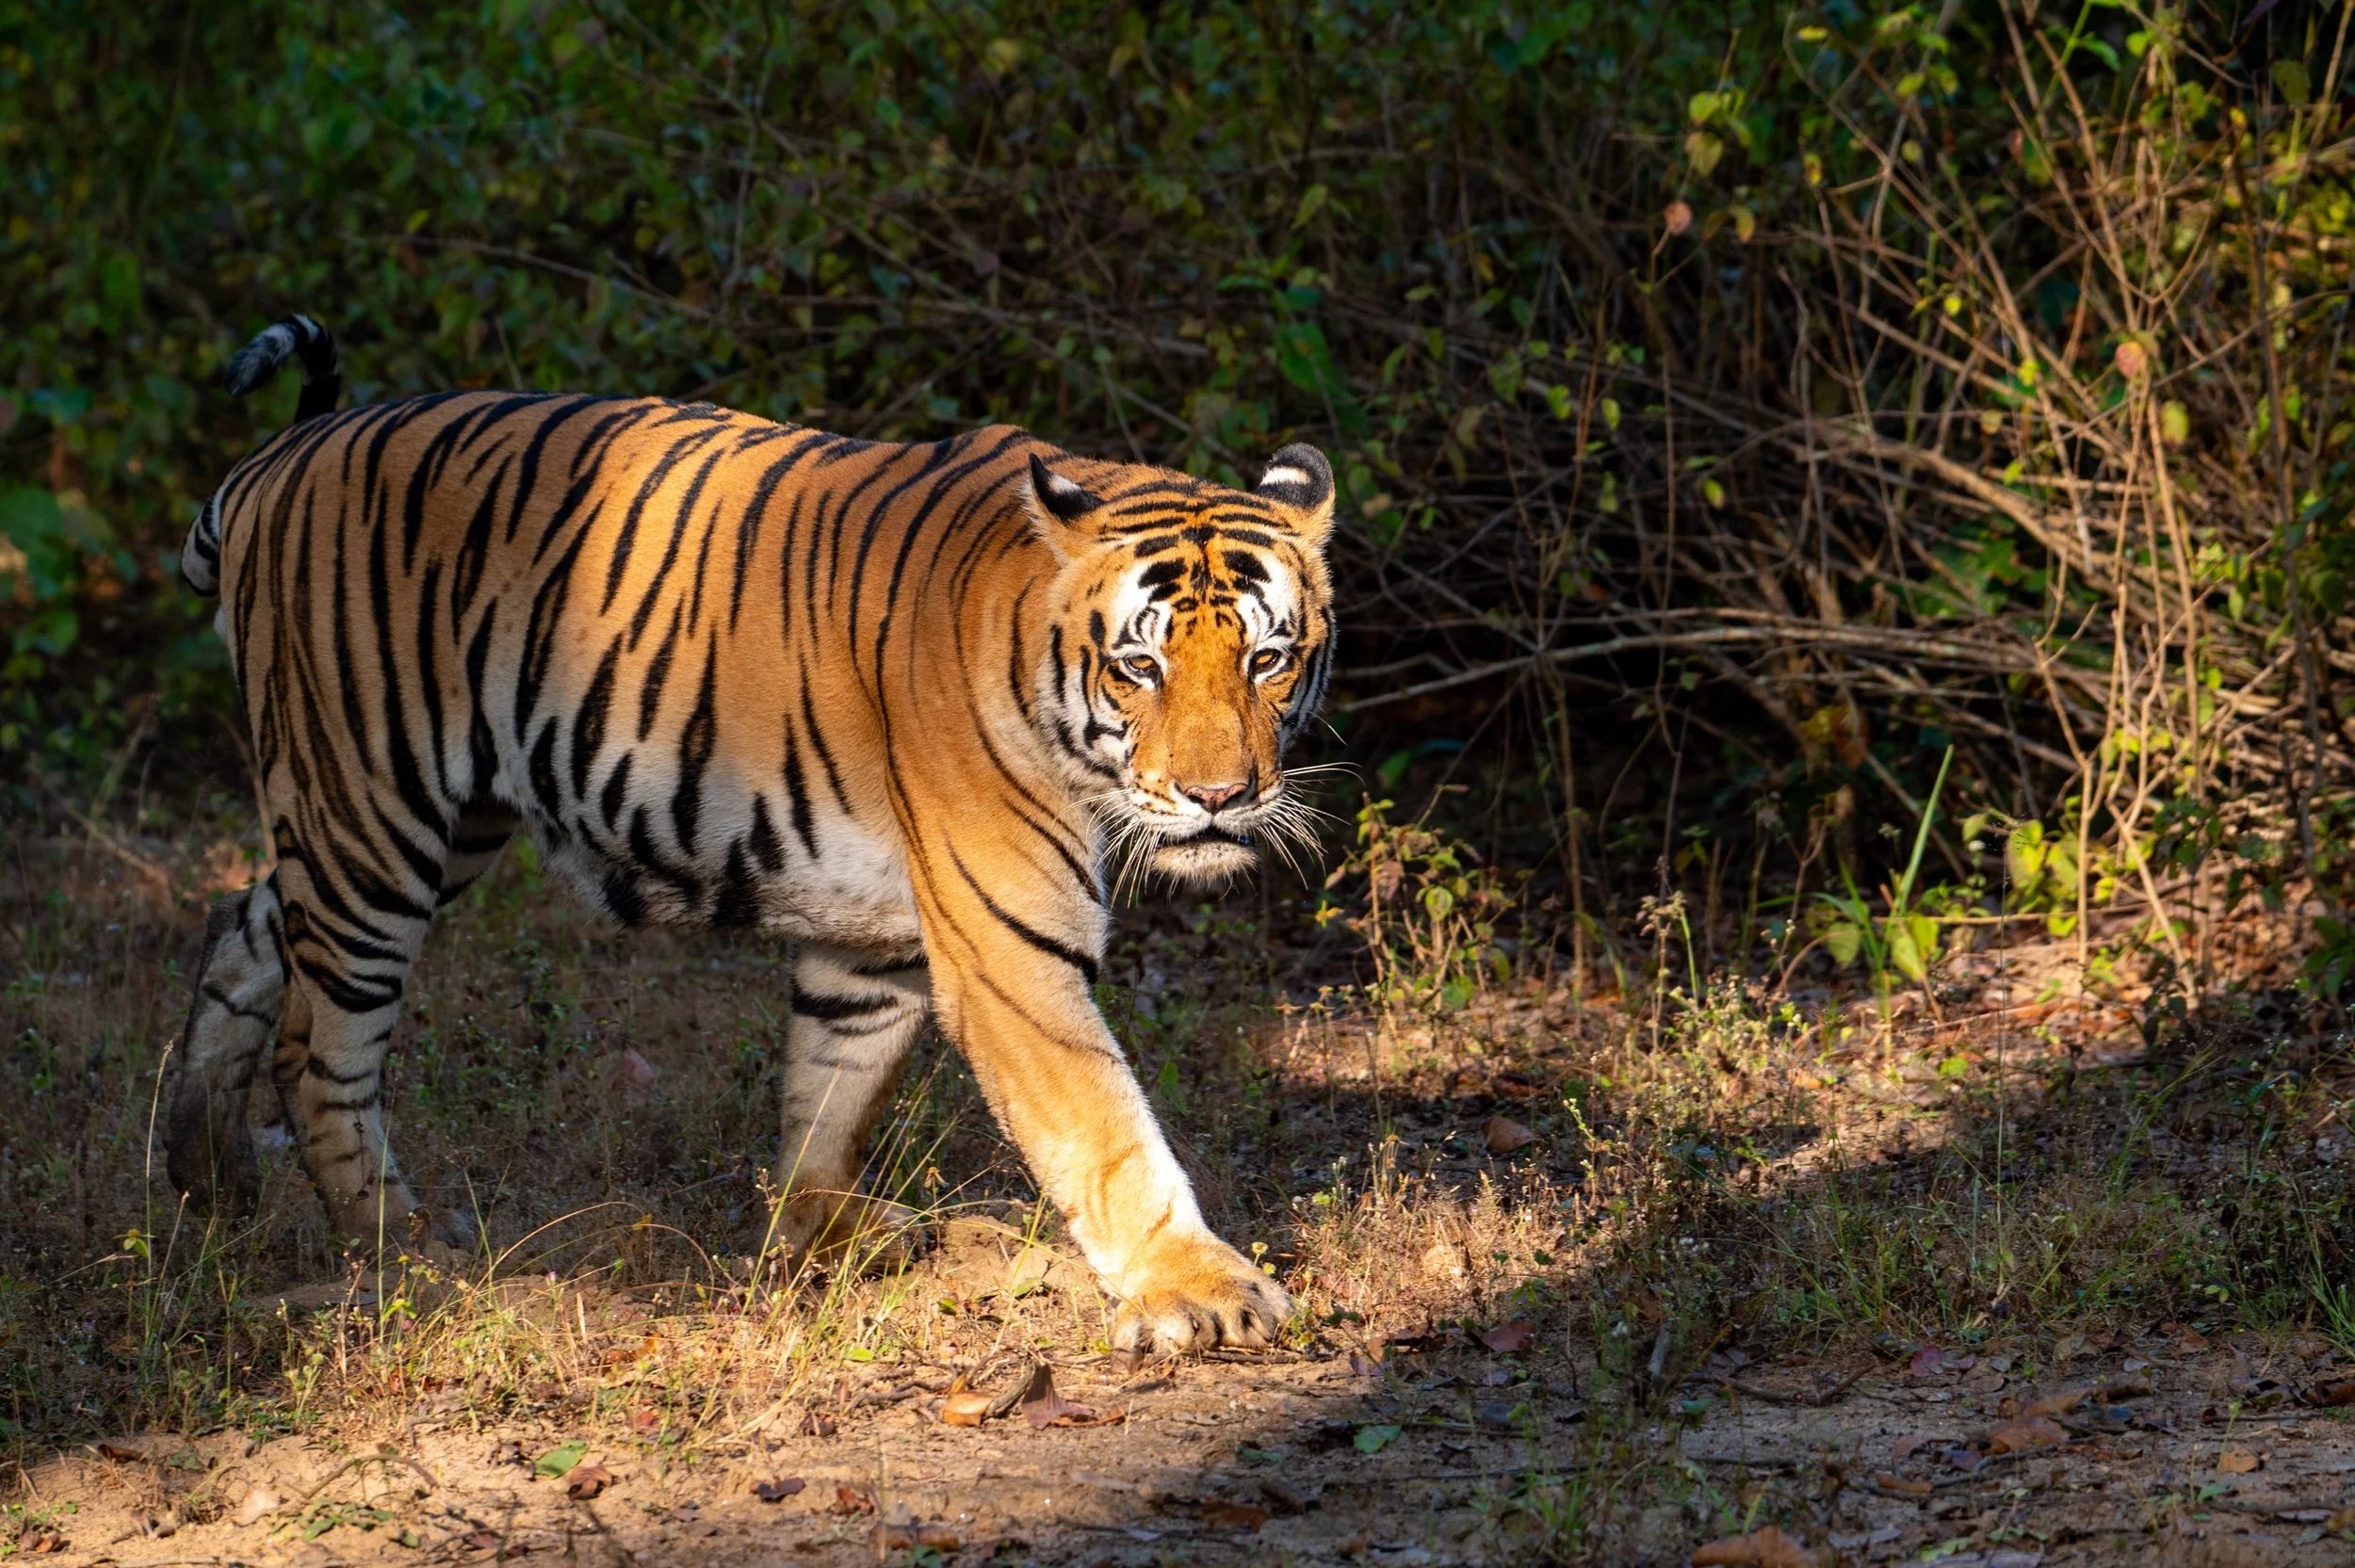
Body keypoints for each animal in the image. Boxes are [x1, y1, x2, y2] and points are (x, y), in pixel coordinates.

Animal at [163, 313, 1333, 1352]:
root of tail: (283, 451)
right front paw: (1196, 1290)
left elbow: (832, 1079)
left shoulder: (877, 931)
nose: (1221, 796)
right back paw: (405, 1255)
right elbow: (1103, 1124)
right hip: (373, 810)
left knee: (241, 924)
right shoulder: (1009, 944)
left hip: (427, 825)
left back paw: (206, 1179)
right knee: (319, 1046)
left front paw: (819, 1228)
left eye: (1268, 659)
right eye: (1140, 667)